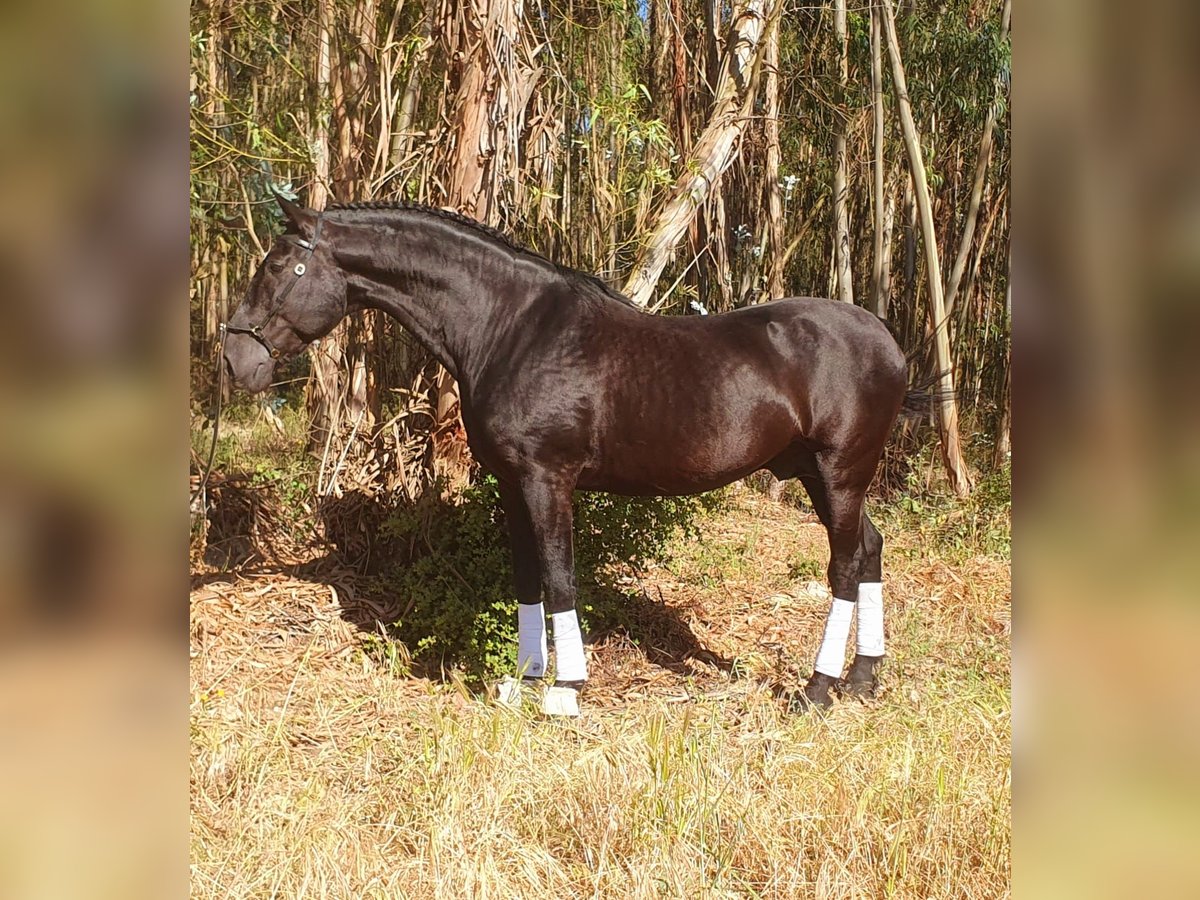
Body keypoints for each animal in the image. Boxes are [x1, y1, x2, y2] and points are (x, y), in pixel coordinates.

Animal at [220, 196, 902, 710]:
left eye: (279, 267)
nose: (236, 358)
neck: (511, 328)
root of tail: (887, 341)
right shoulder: (511, 482)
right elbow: (527, 577)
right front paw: (524, 681)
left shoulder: (548, 479)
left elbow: (559, 577)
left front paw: (566, 688)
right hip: (818, 475)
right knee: (870, 548)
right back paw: (864, 679)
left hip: (840, 471)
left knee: (845, 564)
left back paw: (819, 688)